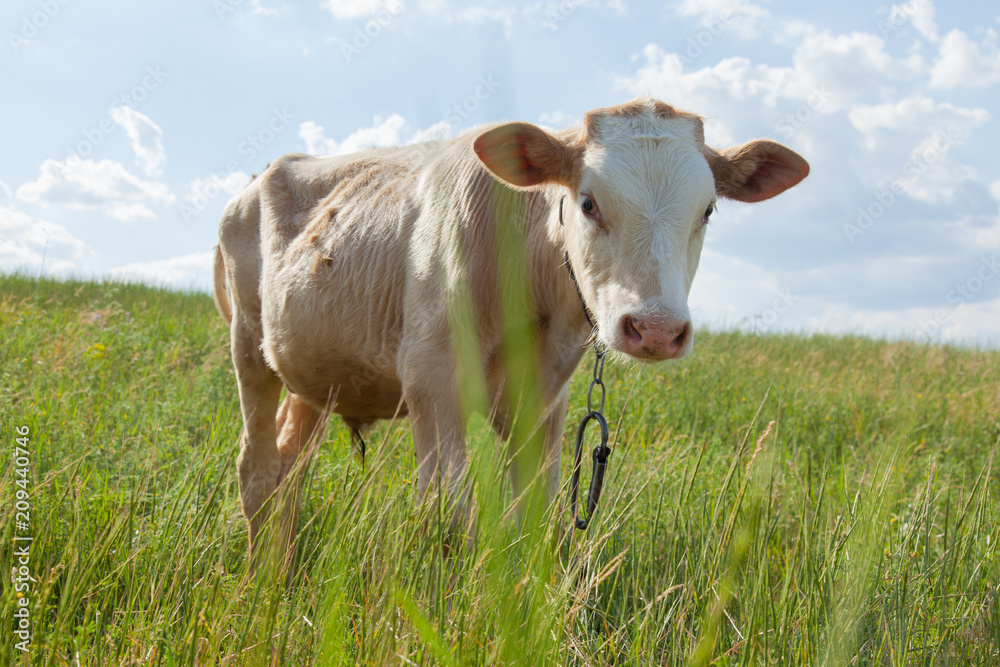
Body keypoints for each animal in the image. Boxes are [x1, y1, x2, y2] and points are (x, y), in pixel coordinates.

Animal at [215, 96, 808, 556]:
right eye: (588, 203)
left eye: (707, 210)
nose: (656, 329)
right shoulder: (431, 379)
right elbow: (447, 519)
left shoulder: (545, 402)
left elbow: (534, 519)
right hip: (247, 345)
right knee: (257, 473)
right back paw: (261, 585)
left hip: (314, 376)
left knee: (289, 473)